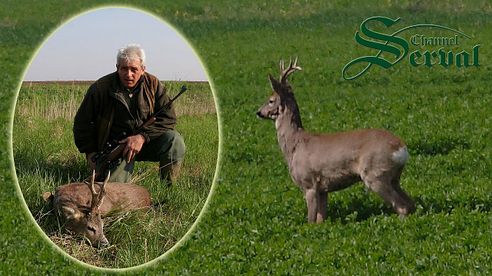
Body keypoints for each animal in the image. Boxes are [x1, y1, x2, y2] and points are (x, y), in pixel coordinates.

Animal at [258, 59, 416, 223]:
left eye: (271, 100)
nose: (259, 112)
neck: (295, 144)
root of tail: (401, 149)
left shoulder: (309, 184)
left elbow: (311, 221)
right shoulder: (323, 189)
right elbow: (321, 220)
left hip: (375, 173)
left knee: (402, 206)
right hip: (394, 177)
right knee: (412, 204)